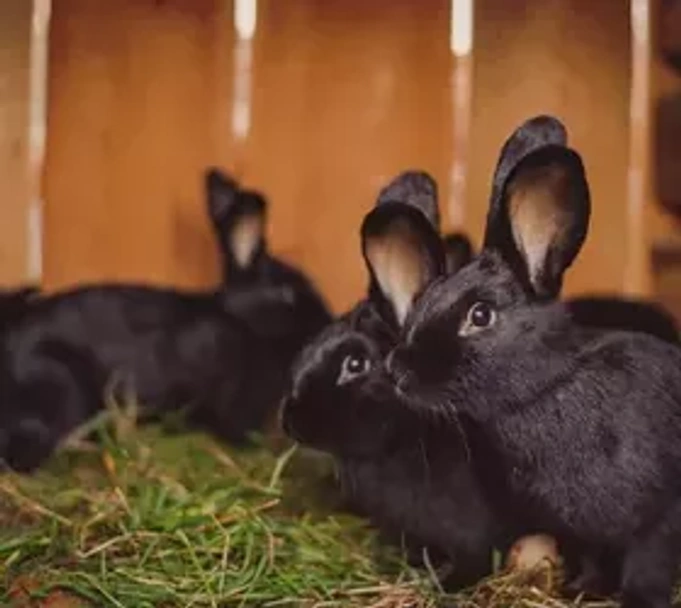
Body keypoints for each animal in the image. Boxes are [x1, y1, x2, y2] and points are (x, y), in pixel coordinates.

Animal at [386, 119, 681, 607]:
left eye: (480, 315)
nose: (398, 371)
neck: (547, 389)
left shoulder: (659, 522)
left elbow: (648, 569)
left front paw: (634, 600)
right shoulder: (584, 535)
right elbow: (594, 560)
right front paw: (582, 591)